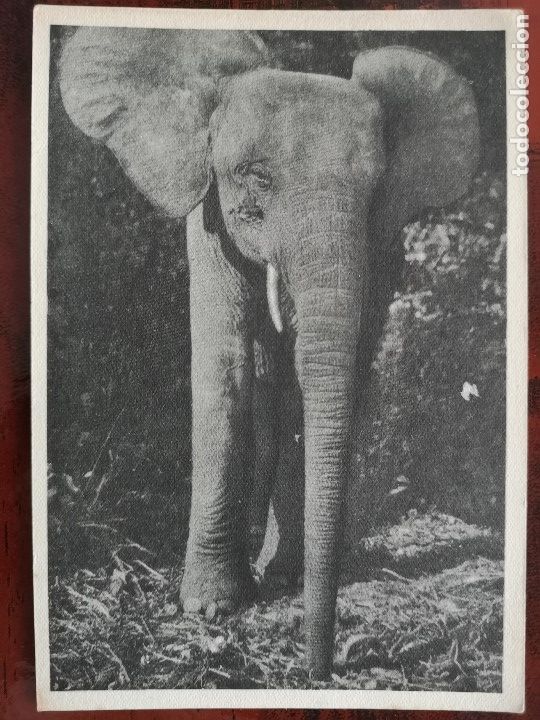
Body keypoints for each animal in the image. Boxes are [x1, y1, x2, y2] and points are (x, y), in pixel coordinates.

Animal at [59, 28, 479, 678]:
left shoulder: (382, 236)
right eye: (252, 178)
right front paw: (209, 609)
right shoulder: (209, 210)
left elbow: (338, 371)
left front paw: (279, 580)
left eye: (375, 188)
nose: (321, 670)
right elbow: (225, 364)